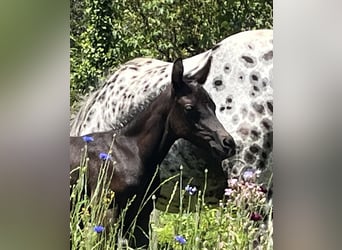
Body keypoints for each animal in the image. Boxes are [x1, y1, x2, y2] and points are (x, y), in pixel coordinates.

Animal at [69, 57, 235, 248]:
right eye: (189, 107)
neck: (131, 151)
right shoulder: (107, 211)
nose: (228, 144)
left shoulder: (142, 214)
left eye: (213, 105)